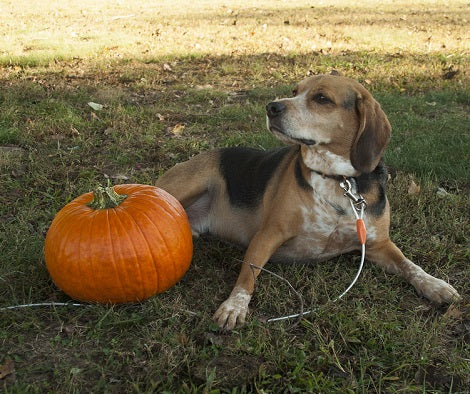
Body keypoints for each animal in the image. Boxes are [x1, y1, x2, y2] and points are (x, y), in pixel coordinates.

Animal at [155, 74, 458, 330]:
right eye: (294, 92)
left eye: (322, 98)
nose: (271, 107)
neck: (338, 180)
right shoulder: (268, 235)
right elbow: (247, 276)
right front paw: (234, 306)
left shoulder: (377, 244)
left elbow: (410, 265)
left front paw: (435, 285)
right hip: (185, 186)